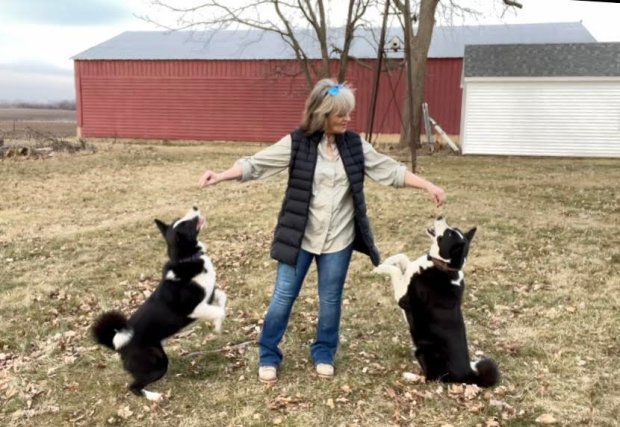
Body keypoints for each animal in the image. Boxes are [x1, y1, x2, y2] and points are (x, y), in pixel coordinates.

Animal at [91, 207, 226, 402]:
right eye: (188, 223)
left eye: (180, 219)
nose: (195, 207)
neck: (186, 259)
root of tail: (117, 343)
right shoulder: (196, 309)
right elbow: (219, 312)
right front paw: (217, 325)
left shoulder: (210, 295)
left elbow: (223, 299)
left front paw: (218, 324)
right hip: (158, 363)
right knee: (133, 386)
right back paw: (154, 396)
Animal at [372, 217, 498, 388]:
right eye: (453, 229)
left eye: (449, 233)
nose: (440, 216)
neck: (442, 265)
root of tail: (468, 375)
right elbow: (403, 256)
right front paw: (388, 260)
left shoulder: (404, 299)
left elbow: (396, 271)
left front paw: (379, 268)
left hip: (425, 350)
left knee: (431, 378)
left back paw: (410, 376)